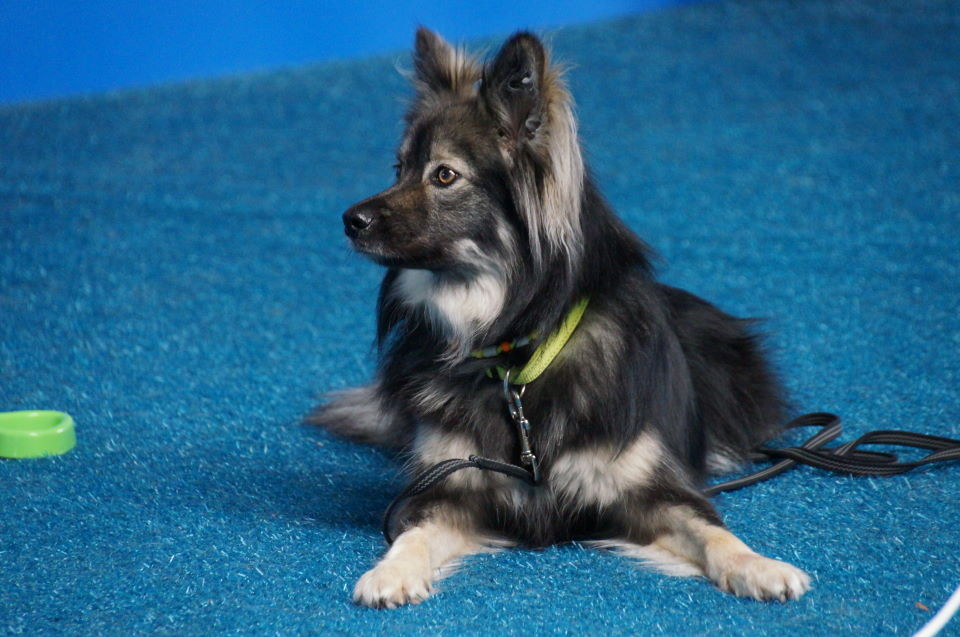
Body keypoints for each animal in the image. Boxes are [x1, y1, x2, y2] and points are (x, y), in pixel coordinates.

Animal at [311, 27, 811, 608]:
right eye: (398, 170)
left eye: (444, 175)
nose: (349, 220)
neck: (515, 351)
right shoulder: (451, 486)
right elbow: (413, 533)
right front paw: (390, 572)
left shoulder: (648, 489)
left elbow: (712, 530)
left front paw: (759, 566)